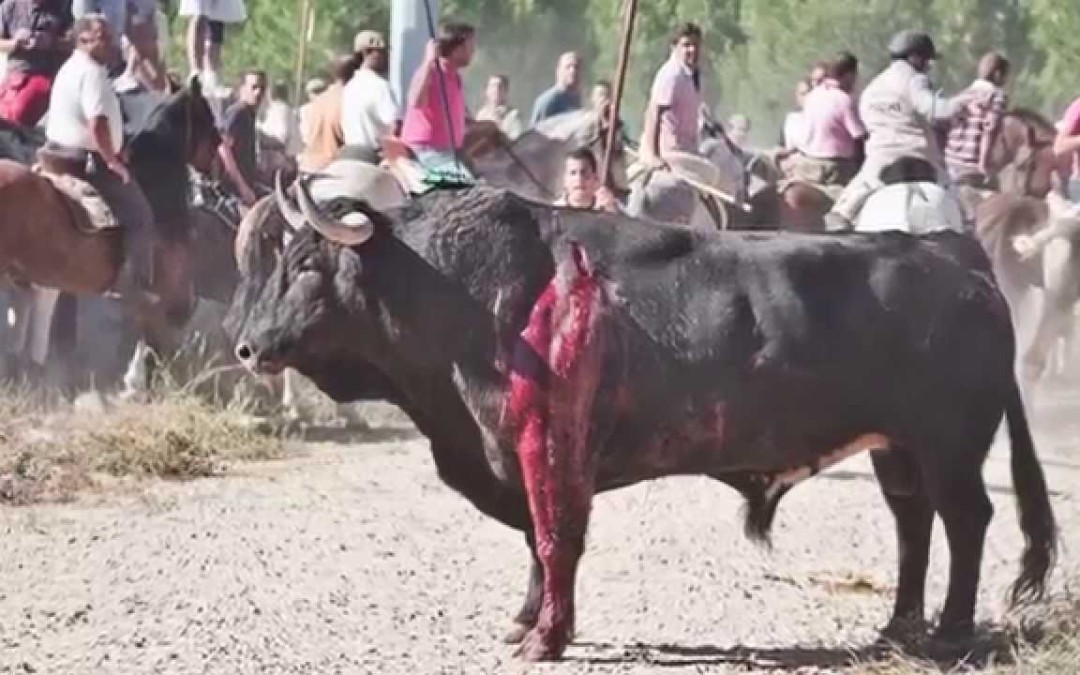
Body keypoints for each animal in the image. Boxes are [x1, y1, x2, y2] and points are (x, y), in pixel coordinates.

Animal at [227, 184, 1054, 656]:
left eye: (306, 263)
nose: (247, 345)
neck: (473, 291)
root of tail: (956, 255)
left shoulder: (550, 446)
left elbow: (556, 538)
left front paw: (546, 637)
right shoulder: (525, 456)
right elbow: (536, 540)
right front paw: (528, 619)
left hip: (949, 448)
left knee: (967, 521)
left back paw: (949, 632)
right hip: (898, 451)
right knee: (914, 524)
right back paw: (898, 627)